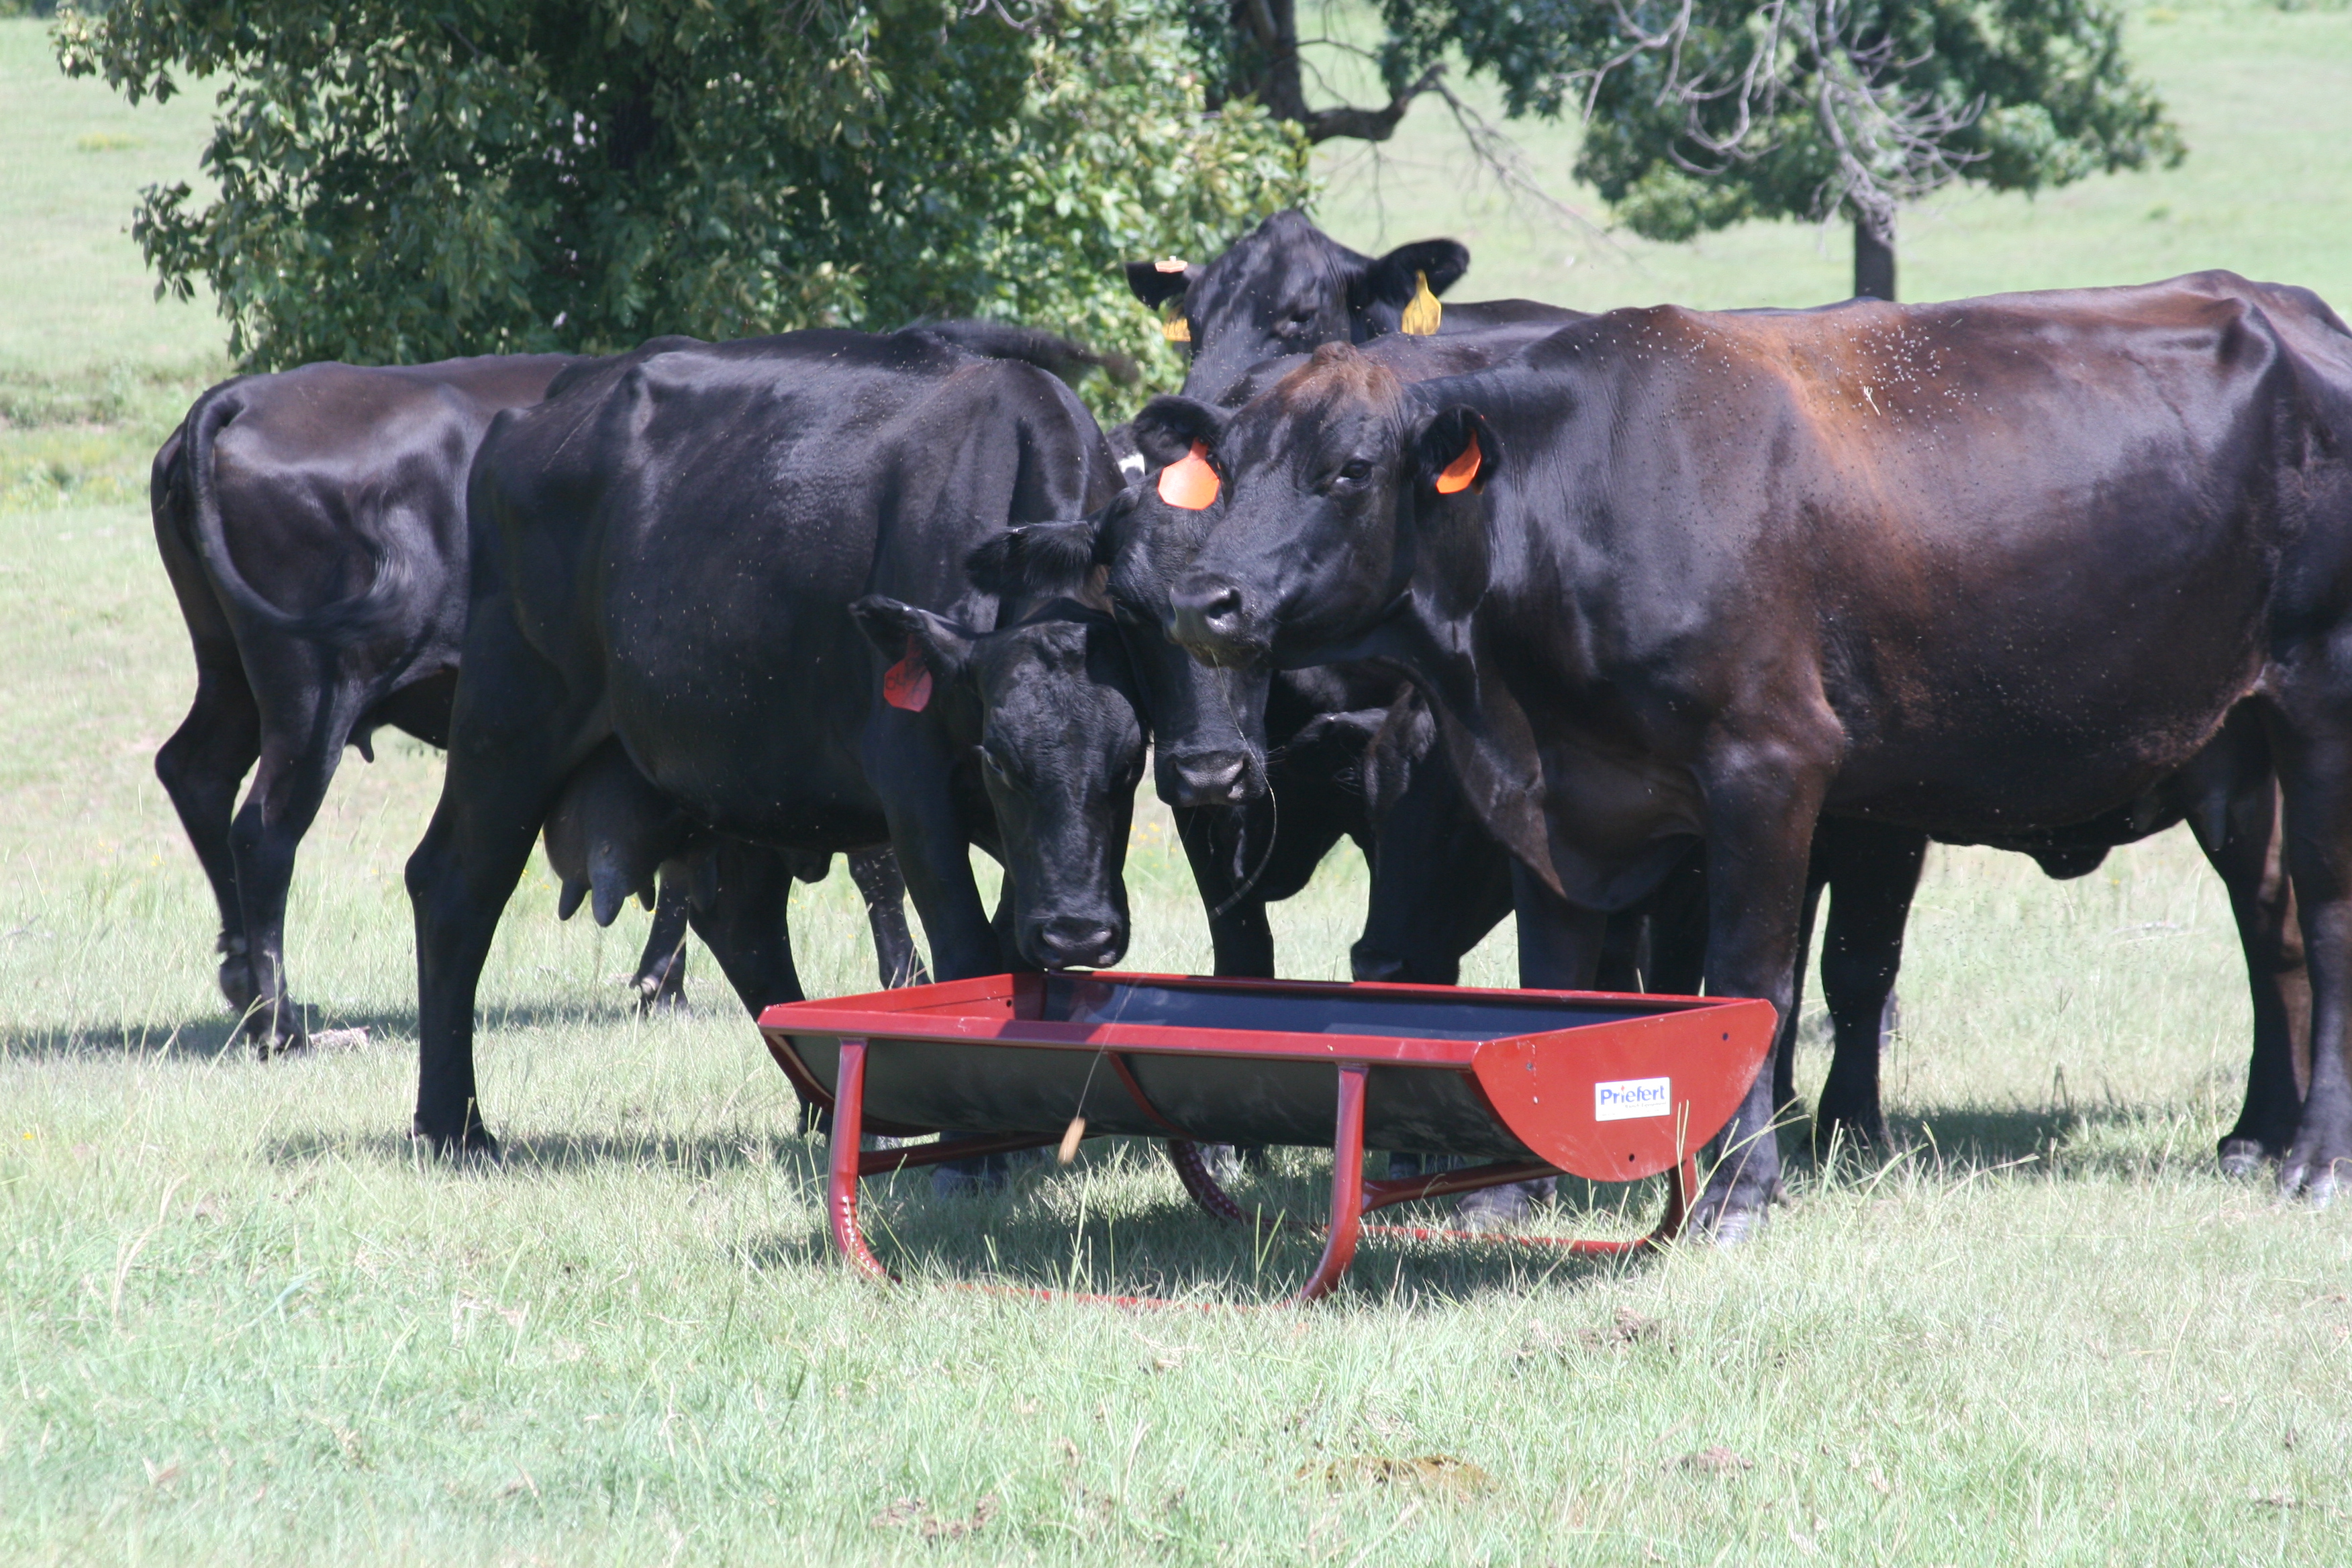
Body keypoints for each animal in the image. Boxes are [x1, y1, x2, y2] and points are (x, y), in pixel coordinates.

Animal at [404, 328, 1133, 1154]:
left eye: (1130, 763)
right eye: (1000, 762)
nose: (1078, 933)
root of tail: (547, 407)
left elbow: (1016, 953)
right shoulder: (916, 789)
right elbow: (968, 951)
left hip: (735, 776)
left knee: (741, 921)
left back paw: (831, 1110)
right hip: (508, 723)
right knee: (456, 887)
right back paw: (453, 1125)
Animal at [1154, 273, 2352, 1234]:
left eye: (1350, 469)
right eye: (1227, 469)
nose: (1205, 598)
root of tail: (2287, 310)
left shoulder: (1771, 773)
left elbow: (1753, 985)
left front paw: (1738, 1192)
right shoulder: (1552, 805)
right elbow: (1555, 983)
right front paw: (1514, 1188)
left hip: (2319, 704)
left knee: (2327, 923)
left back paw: (2316, 1159)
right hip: (2232, 750)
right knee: (2272, 927)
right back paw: (2257, 1133)